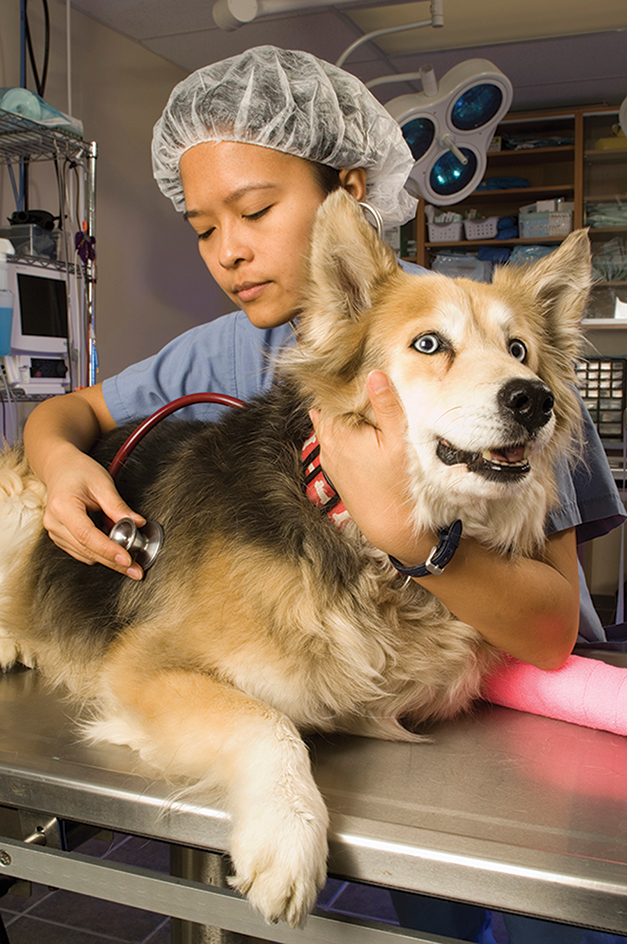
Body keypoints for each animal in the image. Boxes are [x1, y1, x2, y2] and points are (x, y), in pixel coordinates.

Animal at [0, 190, 592, 920]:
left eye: (519, 351)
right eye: (429, 344)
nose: (531, 398)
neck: (349, 529)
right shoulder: (142, 663)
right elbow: (265, 720)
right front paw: (288, 833)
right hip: (23, 497)